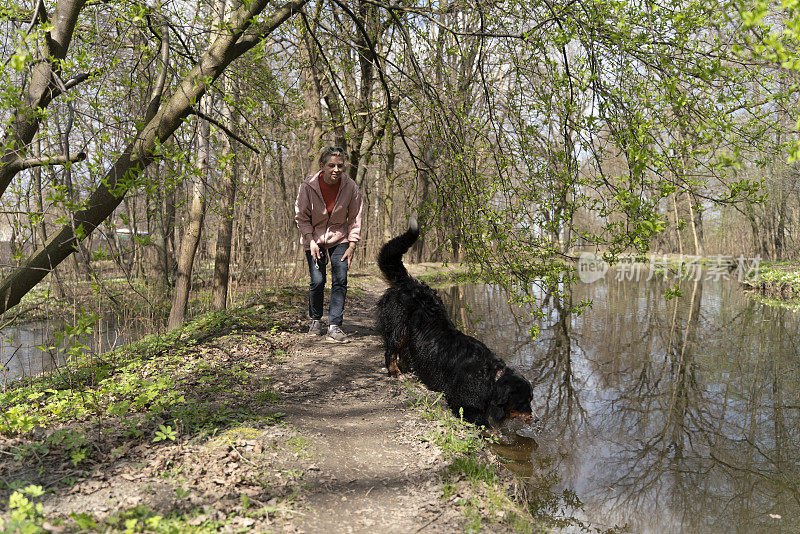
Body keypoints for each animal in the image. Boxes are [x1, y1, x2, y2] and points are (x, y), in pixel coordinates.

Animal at [376, 220, 532, 430]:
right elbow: (487, 427)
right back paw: (395, 373)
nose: (535, 418)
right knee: (390, 351)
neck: (490, 378)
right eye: (525, 402)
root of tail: (408, 282)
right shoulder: (464, 403)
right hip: (398, 327)